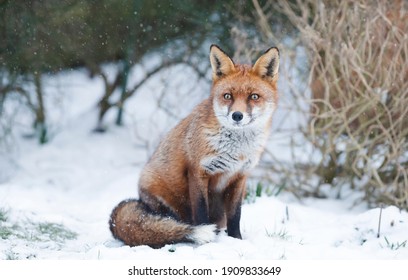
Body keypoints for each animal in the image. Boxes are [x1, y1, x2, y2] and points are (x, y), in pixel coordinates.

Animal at [110, 44, 278, 248]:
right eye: (227, 96)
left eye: (254, 96)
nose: (237, 115)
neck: (236, 151)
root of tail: (141, 198)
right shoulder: (198, 172)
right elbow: (201, 212)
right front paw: (208, 243)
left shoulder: (239, 177)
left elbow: (235, 216)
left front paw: (236, 241)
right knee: (168, 223)